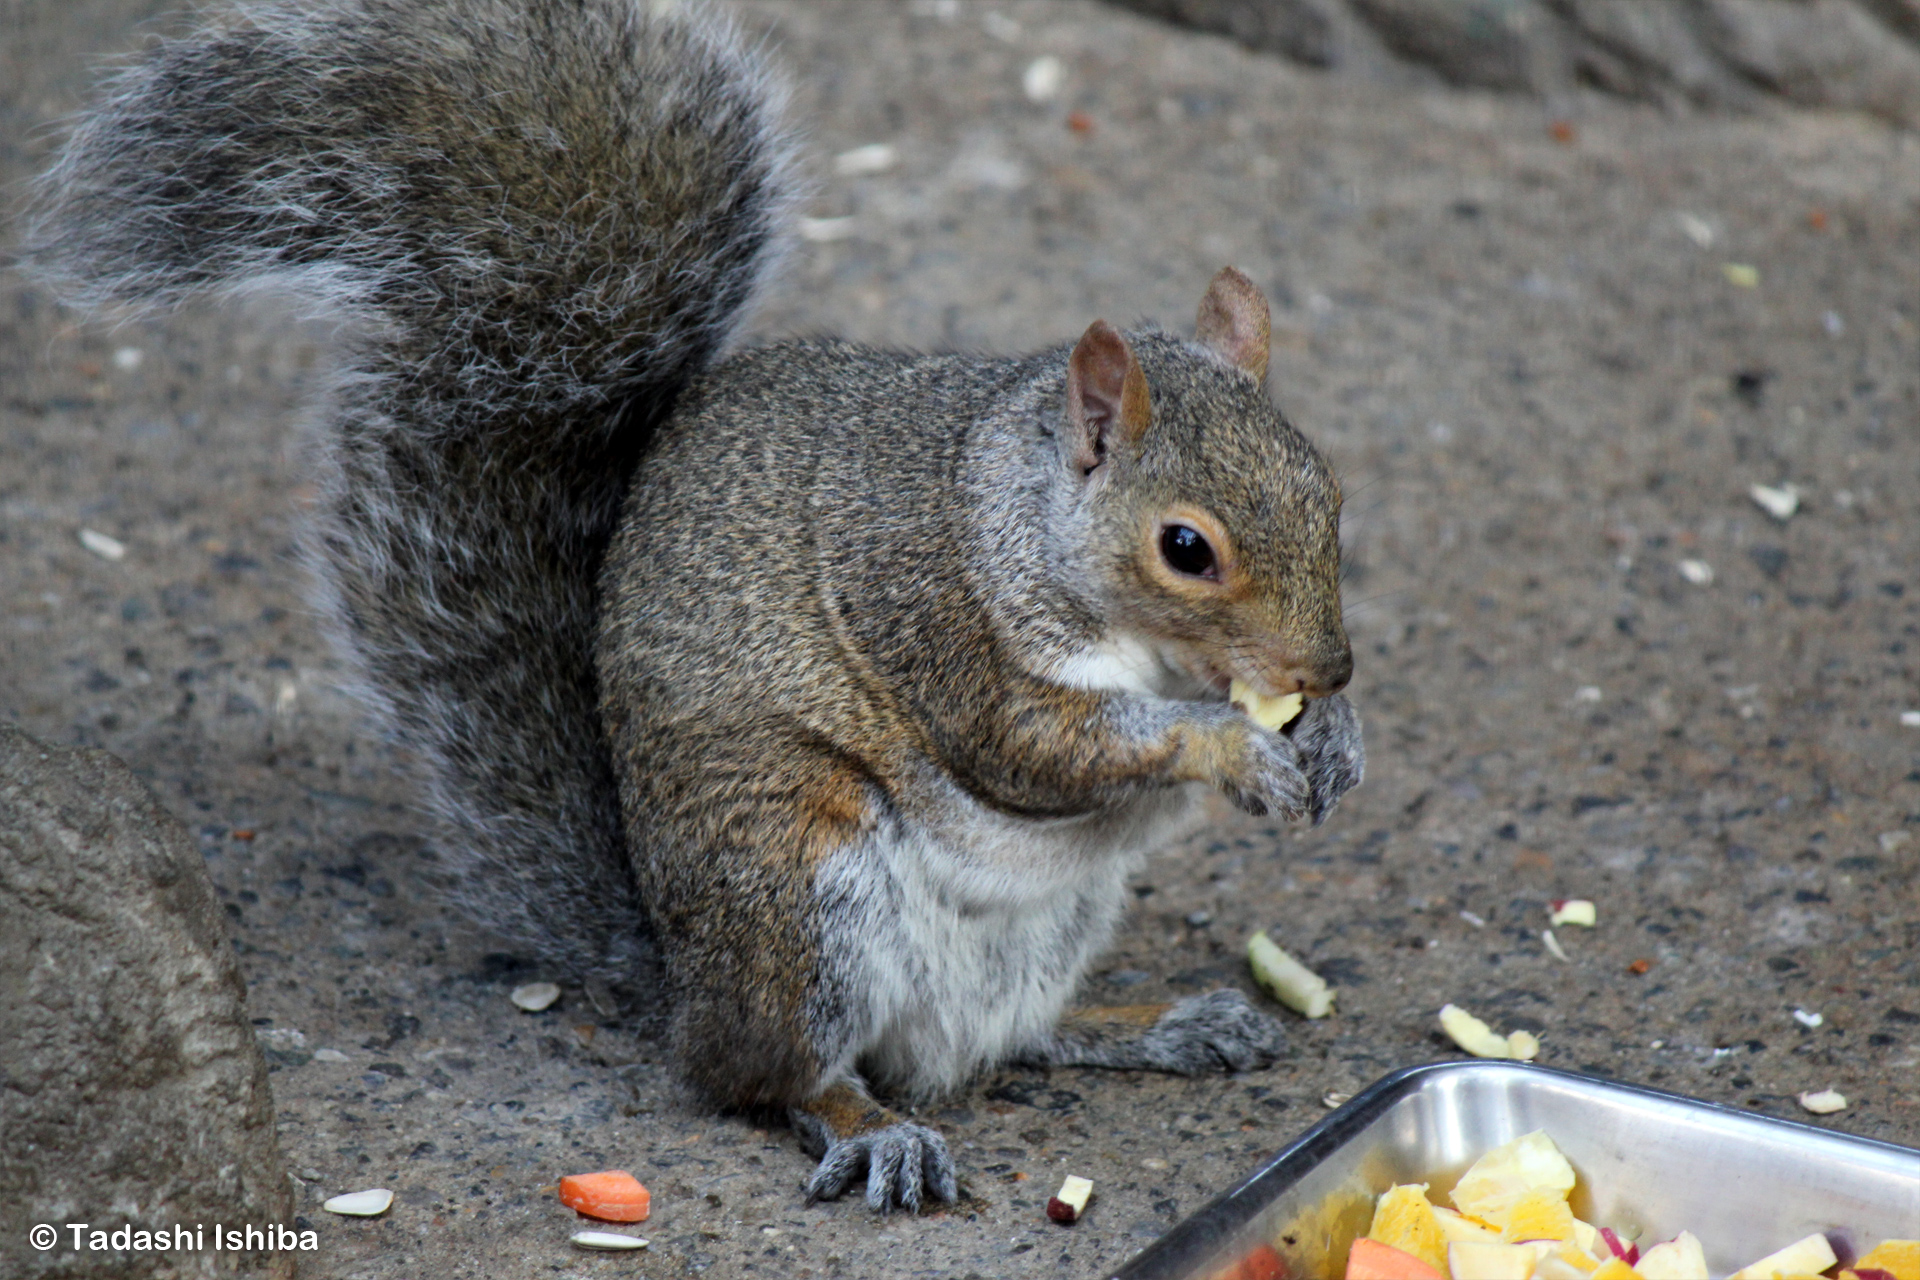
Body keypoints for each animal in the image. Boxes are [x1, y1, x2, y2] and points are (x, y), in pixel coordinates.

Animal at [22, 0, 1359, 1212]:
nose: (1331, 669)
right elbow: (1040, 745)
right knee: (774, 1075)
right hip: (798, 879)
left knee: (1004, 1035)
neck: (1025, 521)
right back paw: (874, 1128)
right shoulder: (939, 618)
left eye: (1328, 487)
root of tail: (681, 977)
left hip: (1049, 920)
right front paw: (1234, 746)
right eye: (1185, 547)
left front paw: (1335, 742)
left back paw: (1166, 1019)